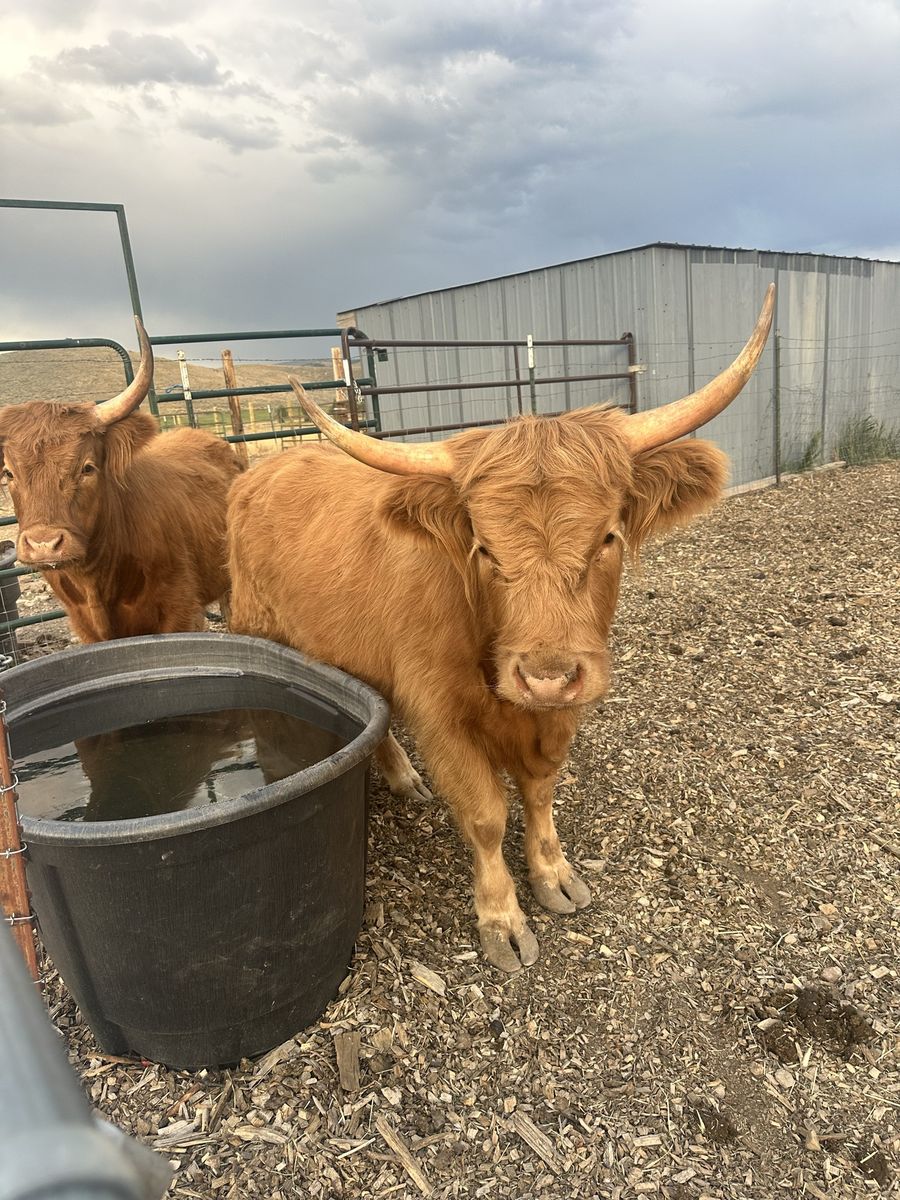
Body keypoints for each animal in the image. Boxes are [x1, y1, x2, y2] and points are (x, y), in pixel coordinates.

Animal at [226, 287, 775, 971]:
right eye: (485, 549)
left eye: (607, 538)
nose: (546, 676)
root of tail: (262, 467)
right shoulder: (440, 713)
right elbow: (487, 813)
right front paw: (502, 917)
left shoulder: (560, 710)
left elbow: (540, 791)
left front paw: (554, 873)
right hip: (262, 630)